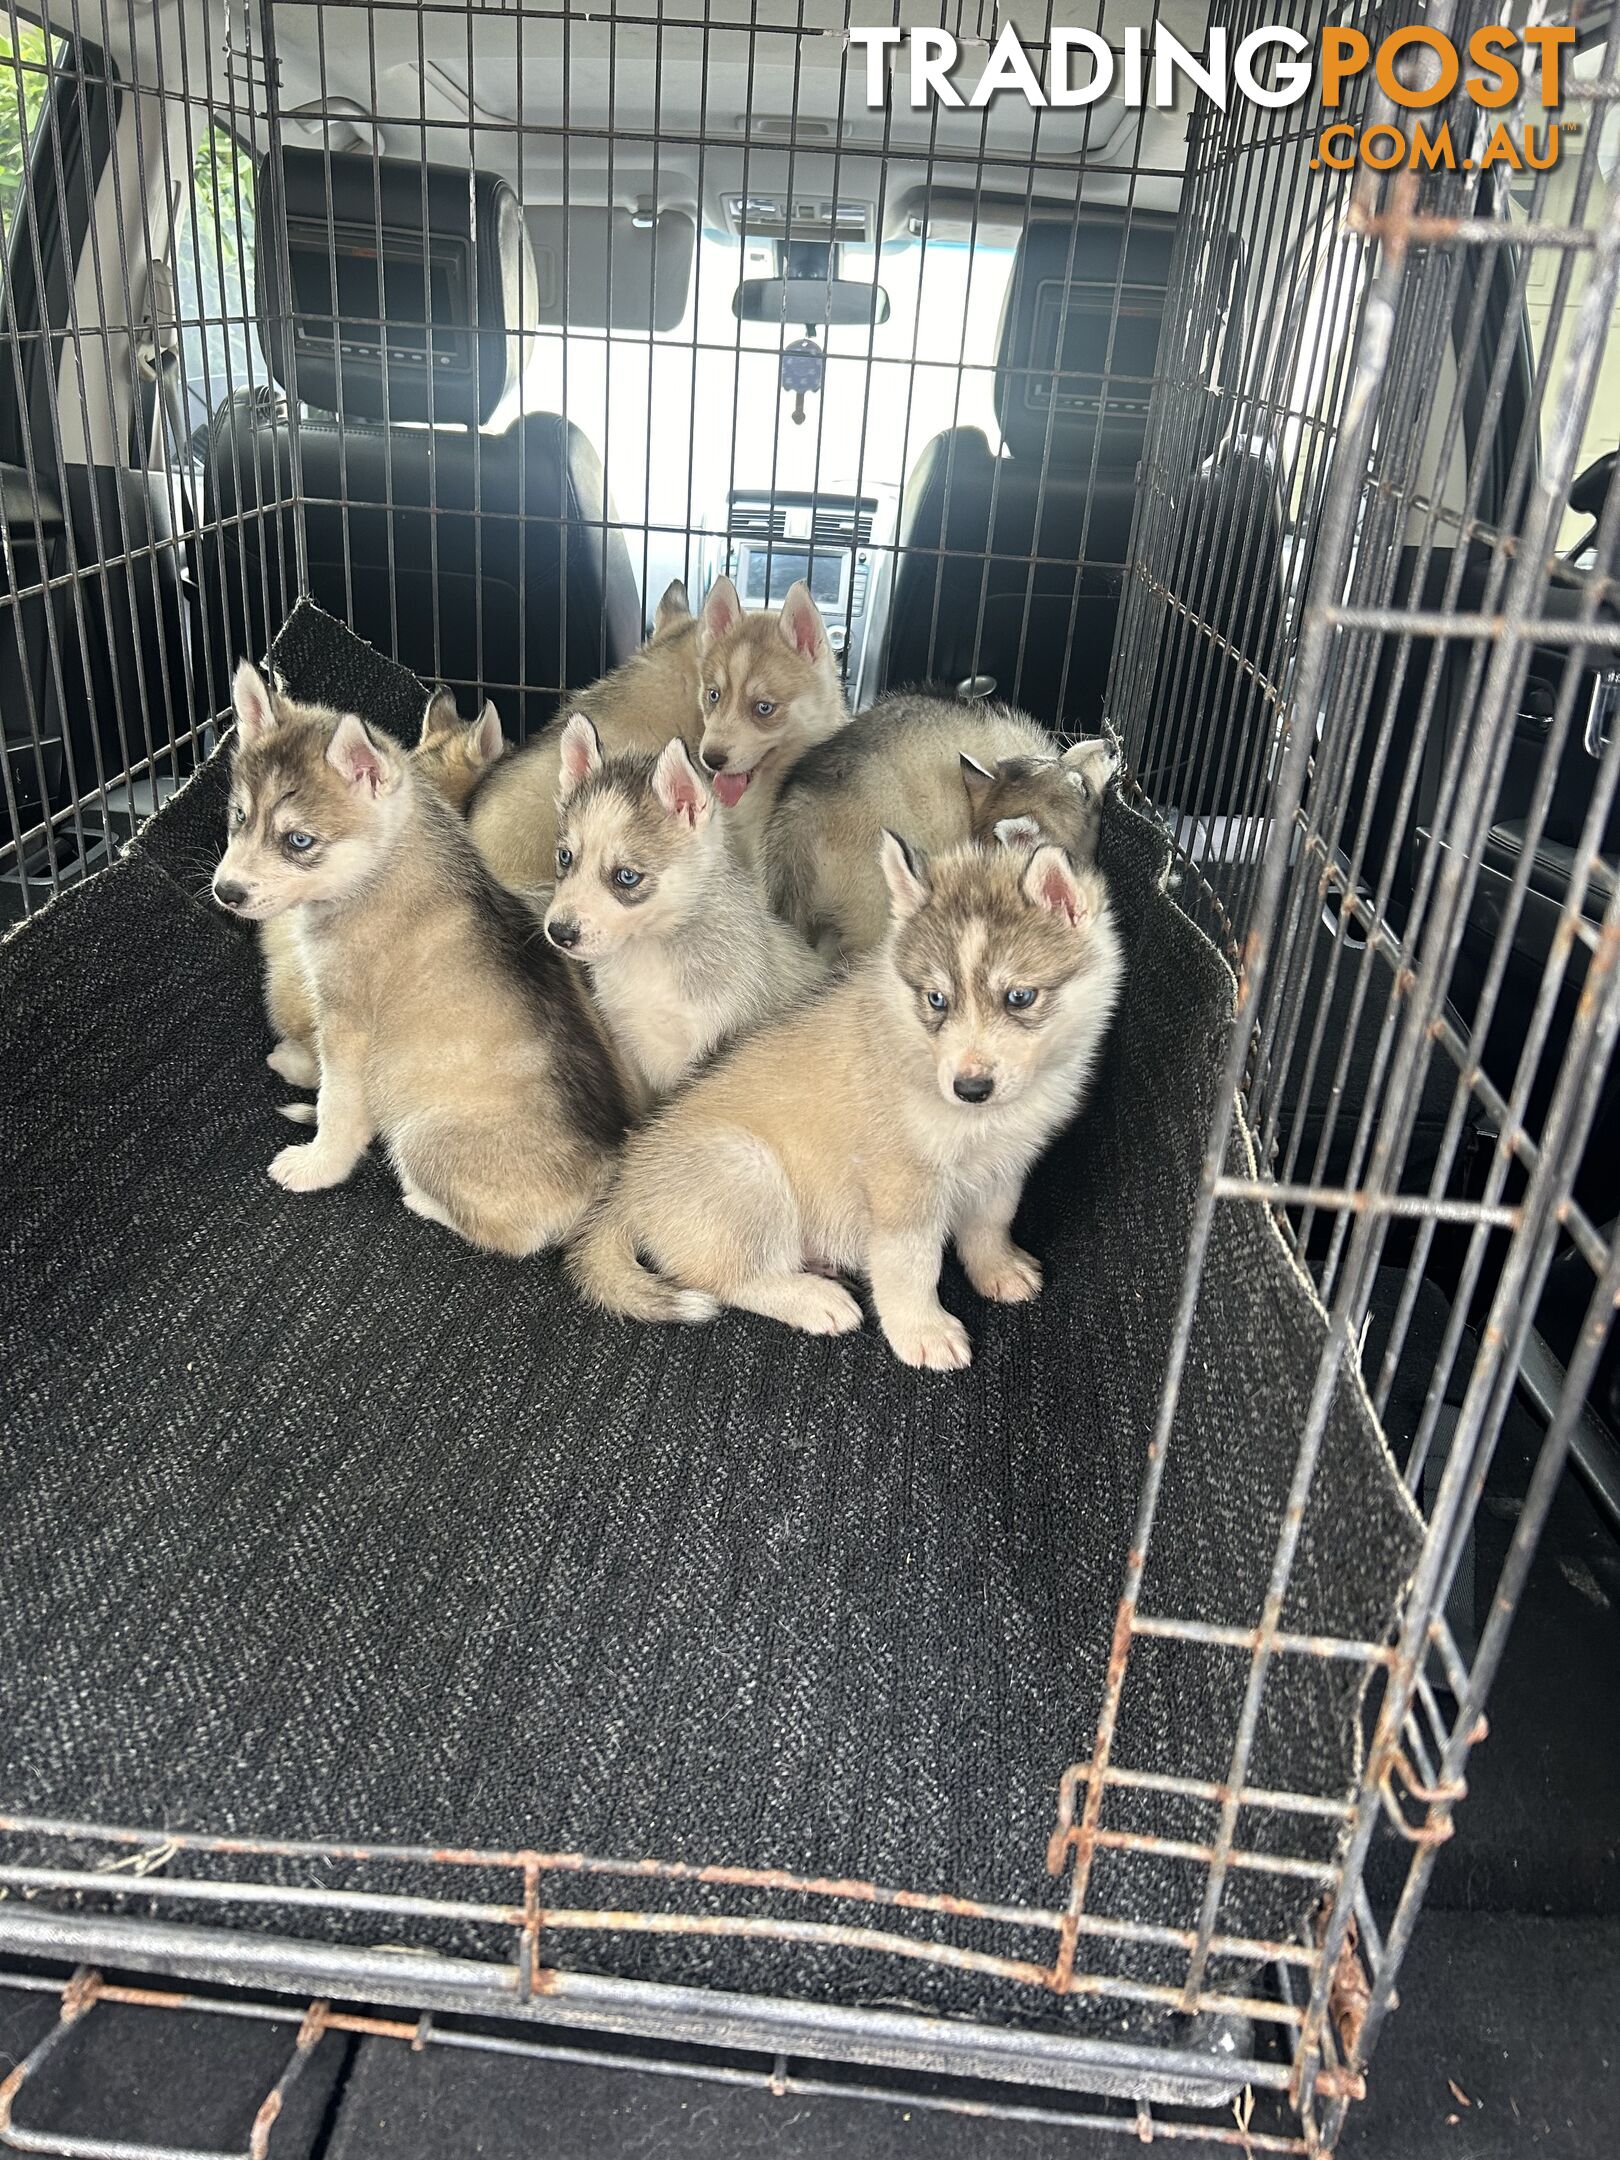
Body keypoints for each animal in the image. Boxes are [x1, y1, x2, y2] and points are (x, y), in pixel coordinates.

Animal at [542, 717, 825, 1105]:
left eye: (627, 876)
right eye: (565, 856)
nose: (559, 933)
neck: (649, 952)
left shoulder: (708, 1045)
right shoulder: (626, 1043)